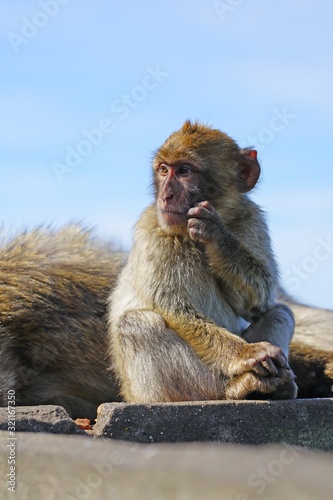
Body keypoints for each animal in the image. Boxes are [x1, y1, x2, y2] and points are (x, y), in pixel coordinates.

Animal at [107, 120, 296, 402]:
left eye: (184, 170)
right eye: (164, 170)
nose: (166, 196)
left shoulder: (251, 218)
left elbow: (259, 300)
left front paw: (217, 236)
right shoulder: (153, 228)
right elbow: (173, 305)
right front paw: (247, 353)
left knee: (280, 312)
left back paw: (279, 384)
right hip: (172, 389)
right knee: (136, 325)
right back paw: (239, 387)